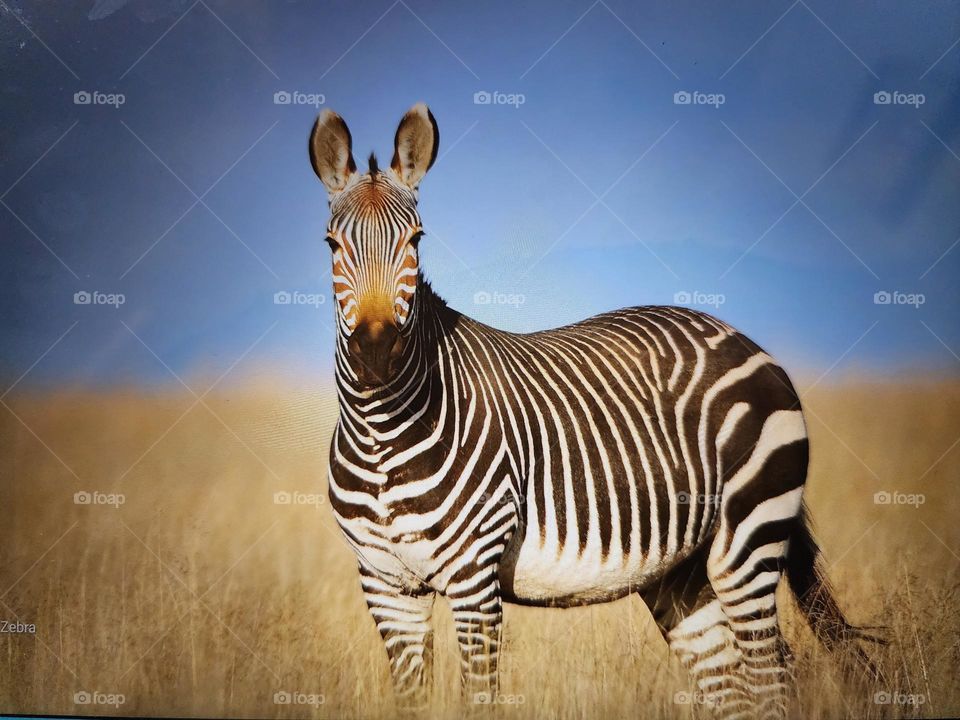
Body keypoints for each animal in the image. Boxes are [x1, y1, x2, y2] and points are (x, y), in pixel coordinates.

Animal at [309, 103, 879, 718]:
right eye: (331, 245)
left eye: (415, 240)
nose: (375, 354)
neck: (382, 432)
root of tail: (740, 337)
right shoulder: (387, 588)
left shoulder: (473, 578)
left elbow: (479, 695)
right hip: (680, 572)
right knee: (736, 688)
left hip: (748, 538)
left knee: (772, 678)